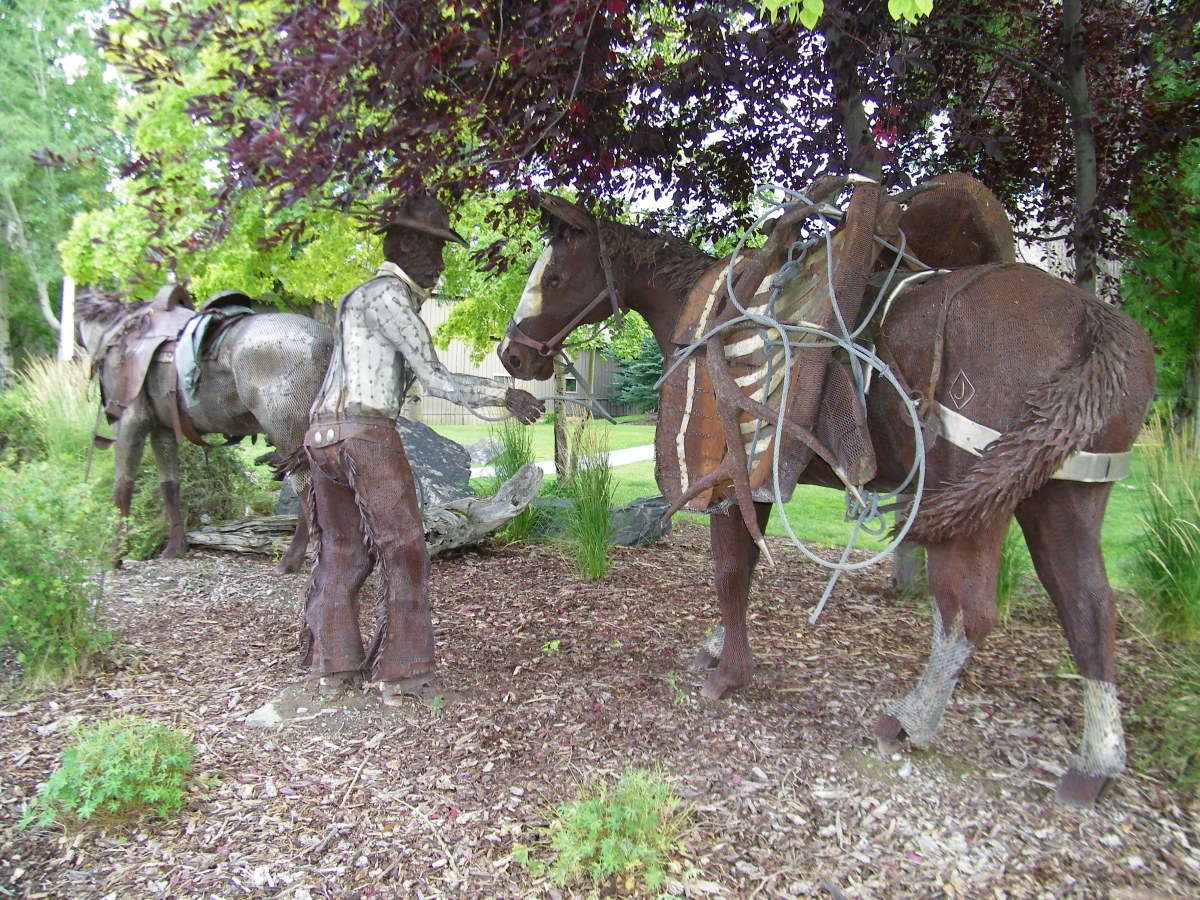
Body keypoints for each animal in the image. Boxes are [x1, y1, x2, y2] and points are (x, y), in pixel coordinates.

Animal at [75, 287, 333, 574]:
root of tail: (327, 341)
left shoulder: (130, 421)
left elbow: (122, 487)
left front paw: (115, 554)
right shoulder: (162, 430)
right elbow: (169, 485)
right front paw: (175, 547)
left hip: (288, 434)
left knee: (308, 493)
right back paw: (292, 562)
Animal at [497, 180, 1156, 807]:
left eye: (553, 277)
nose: (512, 353)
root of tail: (1093, 321)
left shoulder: (737, 477)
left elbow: (729, 570)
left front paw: (728, 674)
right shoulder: (757, 486)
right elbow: (743, 569)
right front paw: (719, 648)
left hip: (977, 502)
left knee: (968, 612)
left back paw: (909, 721)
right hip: (1065, 493)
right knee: (1088, 608)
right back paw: (1096, 765)